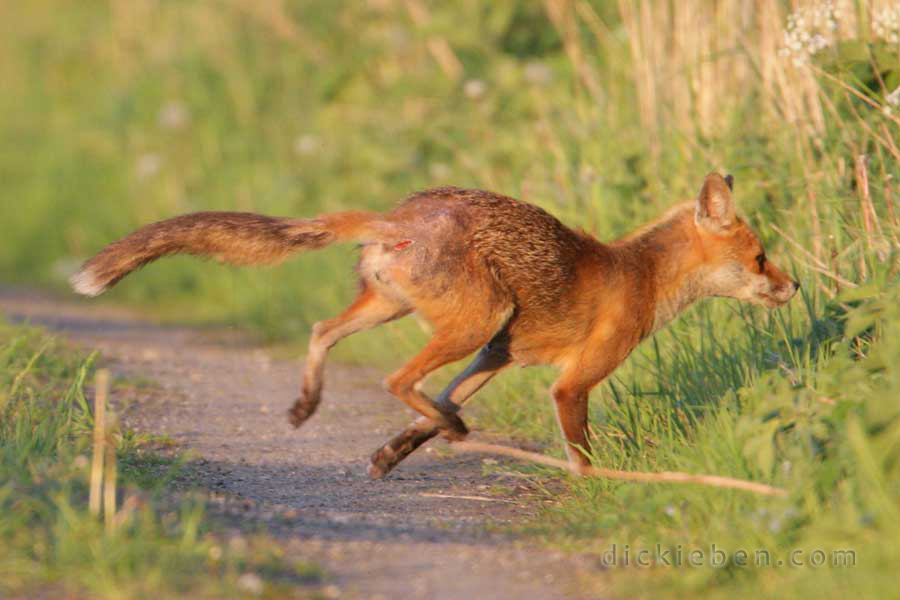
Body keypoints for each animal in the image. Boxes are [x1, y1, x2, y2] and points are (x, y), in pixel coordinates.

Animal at [72, 173, 800, 478]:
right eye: (761, 257)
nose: (795, 286)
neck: (639, 275)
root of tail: (402, 214)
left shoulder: (497, 356)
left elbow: (432, 410)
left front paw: (394, 452)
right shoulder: (568, 382)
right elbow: (581, 453)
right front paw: (601, 492)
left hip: (406, 312)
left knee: (322, 332)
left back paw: (313, 403)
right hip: (472, 319)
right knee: (397, 379)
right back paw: (451, 428)